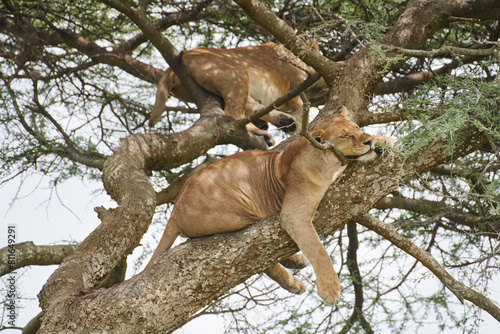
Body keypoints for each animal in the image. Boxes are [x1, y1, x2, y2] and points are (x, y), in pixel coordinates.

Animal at [148, 41, 320, 146]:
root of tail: (170, 68)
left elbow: (299, 108)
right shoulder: (299, 74)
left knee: (250, 107)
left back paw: (282, 122)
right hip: (236, 74)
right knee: (234, 114)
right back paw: (267, 132)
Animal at [148, 107, 394, 306]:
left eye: (358, 128)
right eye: (345, 136)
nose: (368, 141)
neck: (329, 164)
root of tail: (175, 210)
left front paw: (383, 139)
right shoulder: (293, 214)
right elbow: (318, 250)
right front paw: (330, 289)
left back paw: (295, 262)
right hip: (240, 215)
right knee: (258, 259)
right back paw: (293, 279)